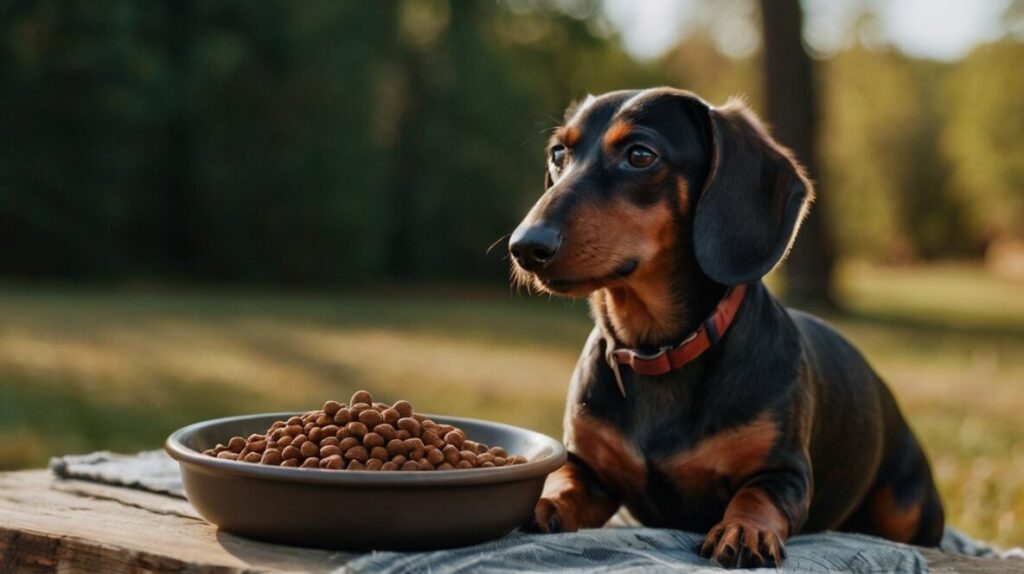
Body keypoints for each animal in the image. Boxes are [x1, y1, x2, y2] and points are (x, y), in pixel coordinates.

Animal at [507, 87, 946, 564]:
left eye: (640, 155)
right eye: (558, 154)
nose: (525, 247)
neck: (657, 350)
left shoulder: (784, 472)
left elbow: (756, 495)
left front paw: (744, 530)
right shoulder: (589, 468)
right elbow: (566, 481)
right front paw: (543, 501)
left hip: (905, 506)